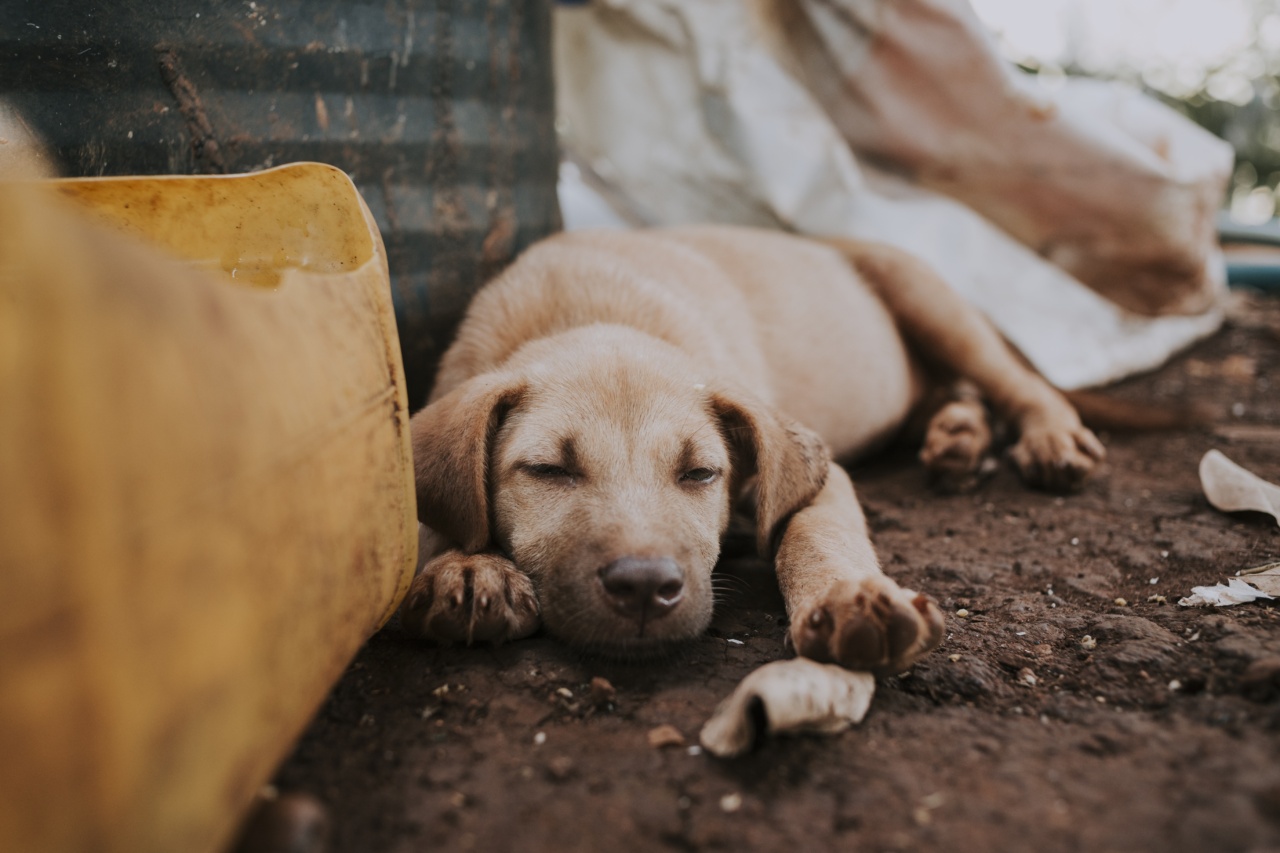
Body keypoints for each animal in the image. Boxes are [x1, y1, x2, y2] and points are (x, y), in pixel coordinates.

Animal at [399, 225, 1100, 671]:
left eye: (699, 473)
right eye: (547, 470)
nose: (646, 589)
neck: (585, 314)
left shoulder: (817, 472)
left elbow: (814, 532)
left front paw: (848, 598)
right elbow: (425, 516)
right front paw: (469, 567)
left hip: (931, 300)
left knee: (1014, 380)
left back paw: (1048, 437)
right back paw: (958, 437)